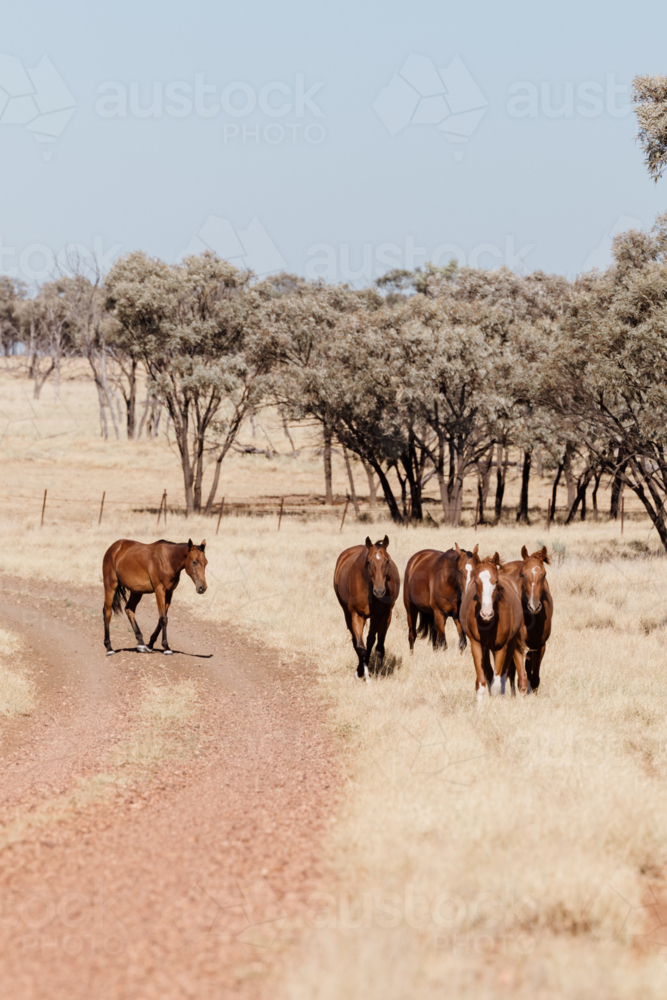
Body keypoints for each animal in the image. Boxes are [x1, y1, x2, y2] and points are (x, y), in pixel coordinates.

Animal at [334, 535, 400, 680]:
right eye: (368, 562)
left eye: (387, 561)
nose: (379, 591)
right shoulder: (357, 615)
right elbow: (360, 648)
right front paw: (362, 673)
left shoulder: (385, 615)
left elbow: (379, 647)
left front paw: (379, 675)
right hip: (347, 612)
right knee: (356, 640)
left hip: (374, 616)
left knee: (370, 639)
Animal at [460, 550, 526, 700]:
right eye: (476, 581)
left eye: (496, 581)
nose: (486, 614)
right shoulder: (477, 645)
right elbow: (481, 683)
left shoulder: (501, 647)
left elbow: (497, 683)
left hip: (511, 643)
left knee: (504, 673)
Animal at [502, 545, 553, 694]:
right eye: (522, 574)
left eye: (544, 574)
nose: (534, 606)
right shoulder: (517, 645)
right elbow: (522, 679)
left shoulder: (540, 646)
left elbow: (534, 679)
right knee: (510, 672)